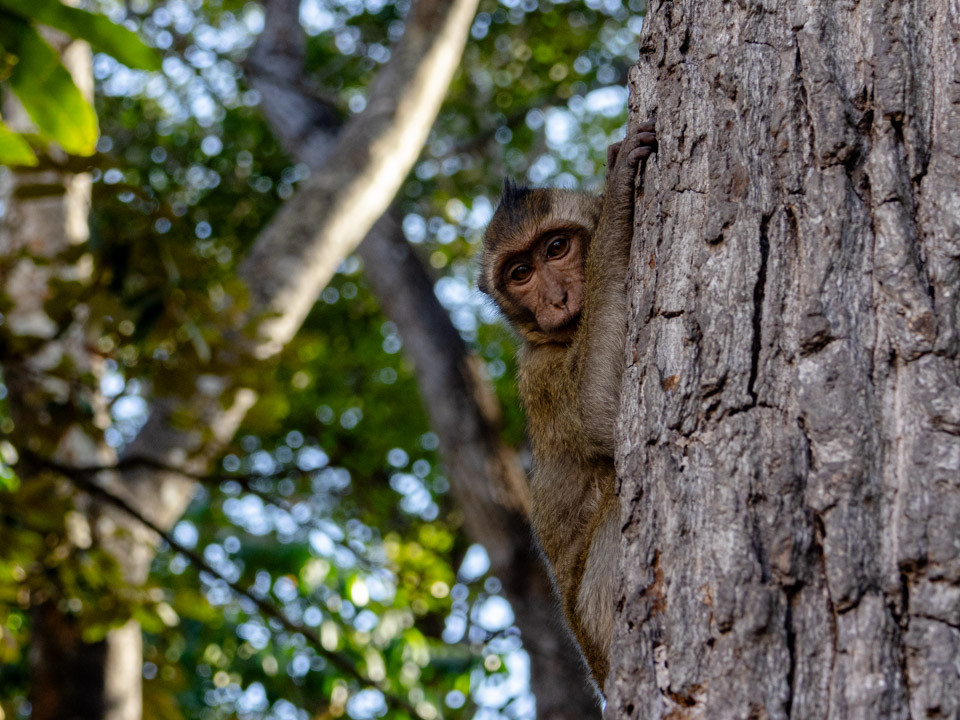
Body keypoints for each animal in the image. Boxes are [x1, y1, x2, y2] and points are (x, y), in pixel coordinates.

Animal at [476, 121, 656, 688]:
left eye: (556, 248)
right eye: (520, 273)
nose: (556, 298)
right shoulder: (541, 374)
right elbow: (600, 415)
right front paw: (619, 199)